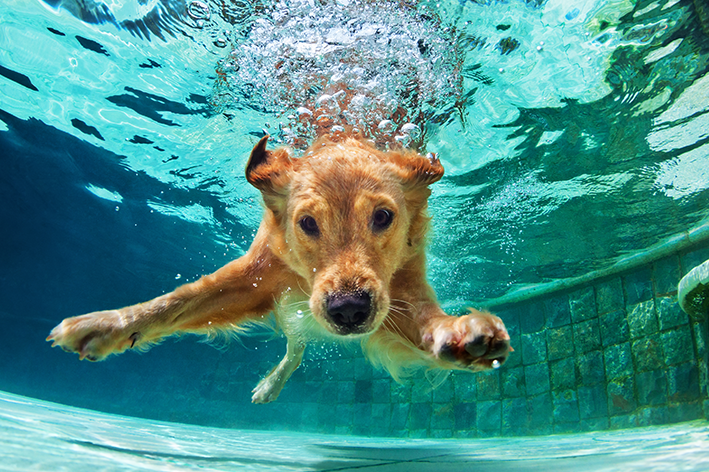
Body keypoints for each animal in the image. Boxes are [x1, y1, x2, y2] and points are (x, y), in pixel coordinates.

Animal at [47, 135, 508, 404]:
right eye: (307, 223)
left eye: (383, 217)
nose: (348, 309)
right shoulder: (256, 276)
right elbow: (177, 301)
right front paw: (108, 325)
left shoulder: (402, 289)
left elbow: (428, 320)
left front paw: (461, 333)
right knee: (295, 346)